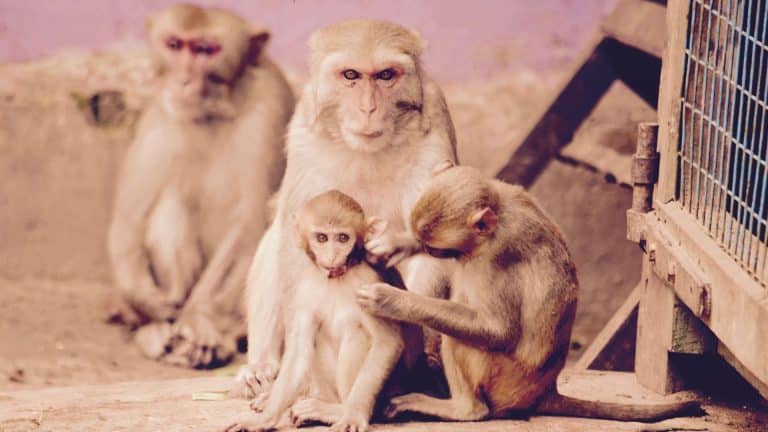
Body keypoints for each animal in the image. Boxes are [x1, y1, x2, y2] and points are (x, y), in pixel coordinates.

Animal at [107, 4, 294, 368]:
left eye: (206, 50)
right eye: (174, 45)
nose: (182, 80)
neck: (217, 108)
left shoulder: (269, 108)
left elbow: (250, 225)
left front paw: (197, 318)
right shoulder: (161, 113)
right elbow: (129, 219)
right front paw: (146, 302)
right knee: (168, 205)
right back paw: (155, 329)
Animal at [226, 190, 404, 432]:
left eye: (343, 238)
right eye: (321, 238)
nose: (331, 256)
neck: (336, 279)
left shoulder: (368, 283)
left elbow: (387, 342)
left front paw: (353, 415)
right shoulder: (306, 288)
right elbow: (300, 348)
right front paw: (264, 419)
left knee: (356, 332)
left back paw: (336, 410)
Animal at [233, 19, 457, 397]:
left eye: (385, 75)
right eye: (350, 75)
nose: (368, 108)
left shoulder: (434, 127)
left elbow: (433, 242)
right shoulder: (305, 135)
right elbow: (296, 242)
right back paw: (262, 366)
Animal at [357, 164, 701, 422]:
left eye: (436, 249)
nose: (427, 249)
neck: (498, 212)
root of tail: (546, 389)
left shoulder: (495, 259)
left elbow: (498, 330)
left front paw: (393, 300)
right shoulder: (513, 191)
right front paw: (397, 244)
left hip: (506, 381)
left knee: (459, 339)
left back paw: (465, 410)